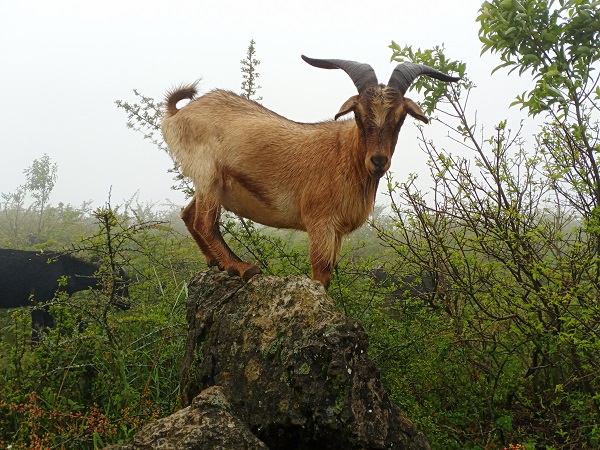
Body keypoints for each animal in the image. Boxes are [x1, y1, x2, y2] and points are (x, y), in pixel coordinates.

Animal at [0, 248, 129, 340]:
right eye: (120, 286)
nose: (126, 305)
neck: (66, 270)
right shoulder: (37, 302)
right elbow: (37, 330)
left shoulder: (49, 304)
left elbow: (49, 327)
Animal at [162, 55, 458, 288]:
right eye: (359, 114)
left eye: (401, 117)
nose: (378, 160)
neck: (346, 156)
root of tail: (177, 114)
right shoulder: (320, 223)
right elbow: (320, 274)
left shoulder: (336, 232)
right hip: (208, 173)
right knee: (204, 221)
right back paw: (243, 268)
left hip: (211, 184)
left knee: (188, 214)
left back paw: (217, 263)